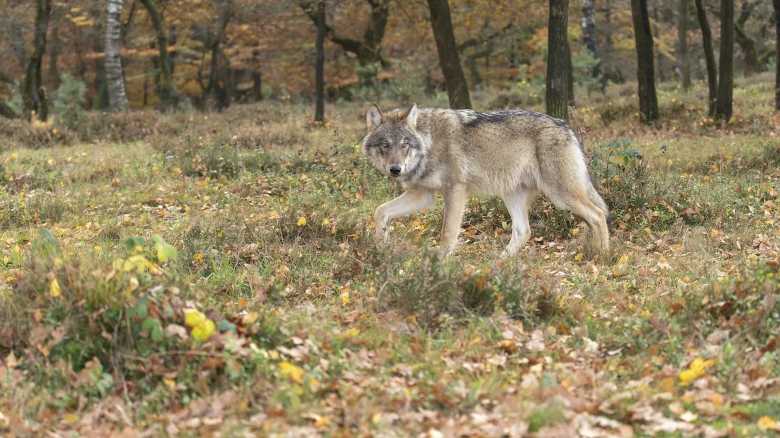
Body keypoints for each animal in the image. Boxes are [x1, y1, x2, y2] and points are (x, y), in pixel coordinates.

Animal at [362, 104, 610, 258]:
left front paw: (439, 262)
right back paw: (498, 263)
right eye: (385, 145)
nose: (395, 169)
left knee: (598, 215)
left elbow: (447, 233)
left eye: (404, 144)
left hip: (560, 195)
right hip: (513, 195)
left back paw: (603, 256)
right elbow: (380, 211)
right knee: (524, 231)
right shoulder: (423, 195)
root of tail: (566, 126)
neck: (428, 143)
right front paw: (380, 246)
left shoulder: (455, 191)